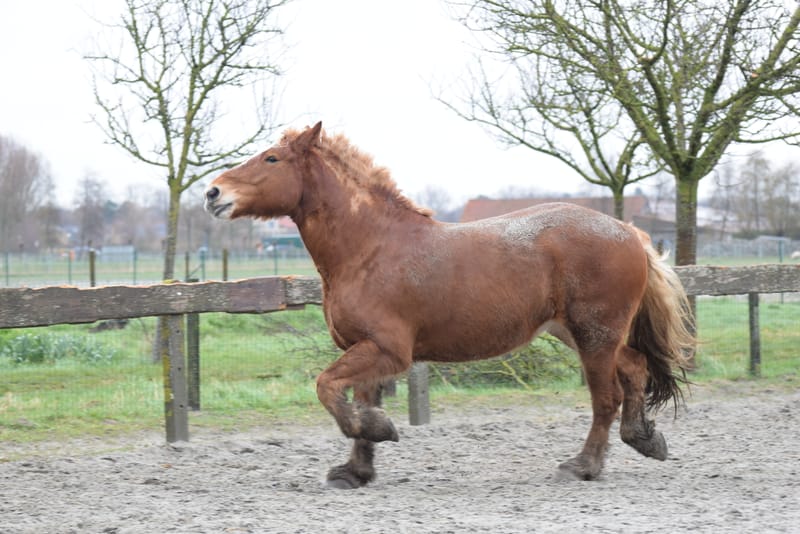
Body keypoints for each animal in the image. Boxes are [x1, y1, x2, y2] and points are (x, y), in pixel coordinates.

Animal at [204, 122, 694, 488]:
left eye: (272, 158)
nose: (213, 193)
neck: (369, 249)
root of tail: (629, 232)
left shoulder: (388, 350)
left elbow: (327, 388)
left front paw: (378, 429)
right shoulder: (365, 351)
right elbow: (355, 399)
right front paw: (355, 470)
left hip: (594, 335)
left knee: (607, 396)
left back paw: (584, 466)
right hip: (580, 333)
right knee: (634, 368)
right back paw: (645, 439)